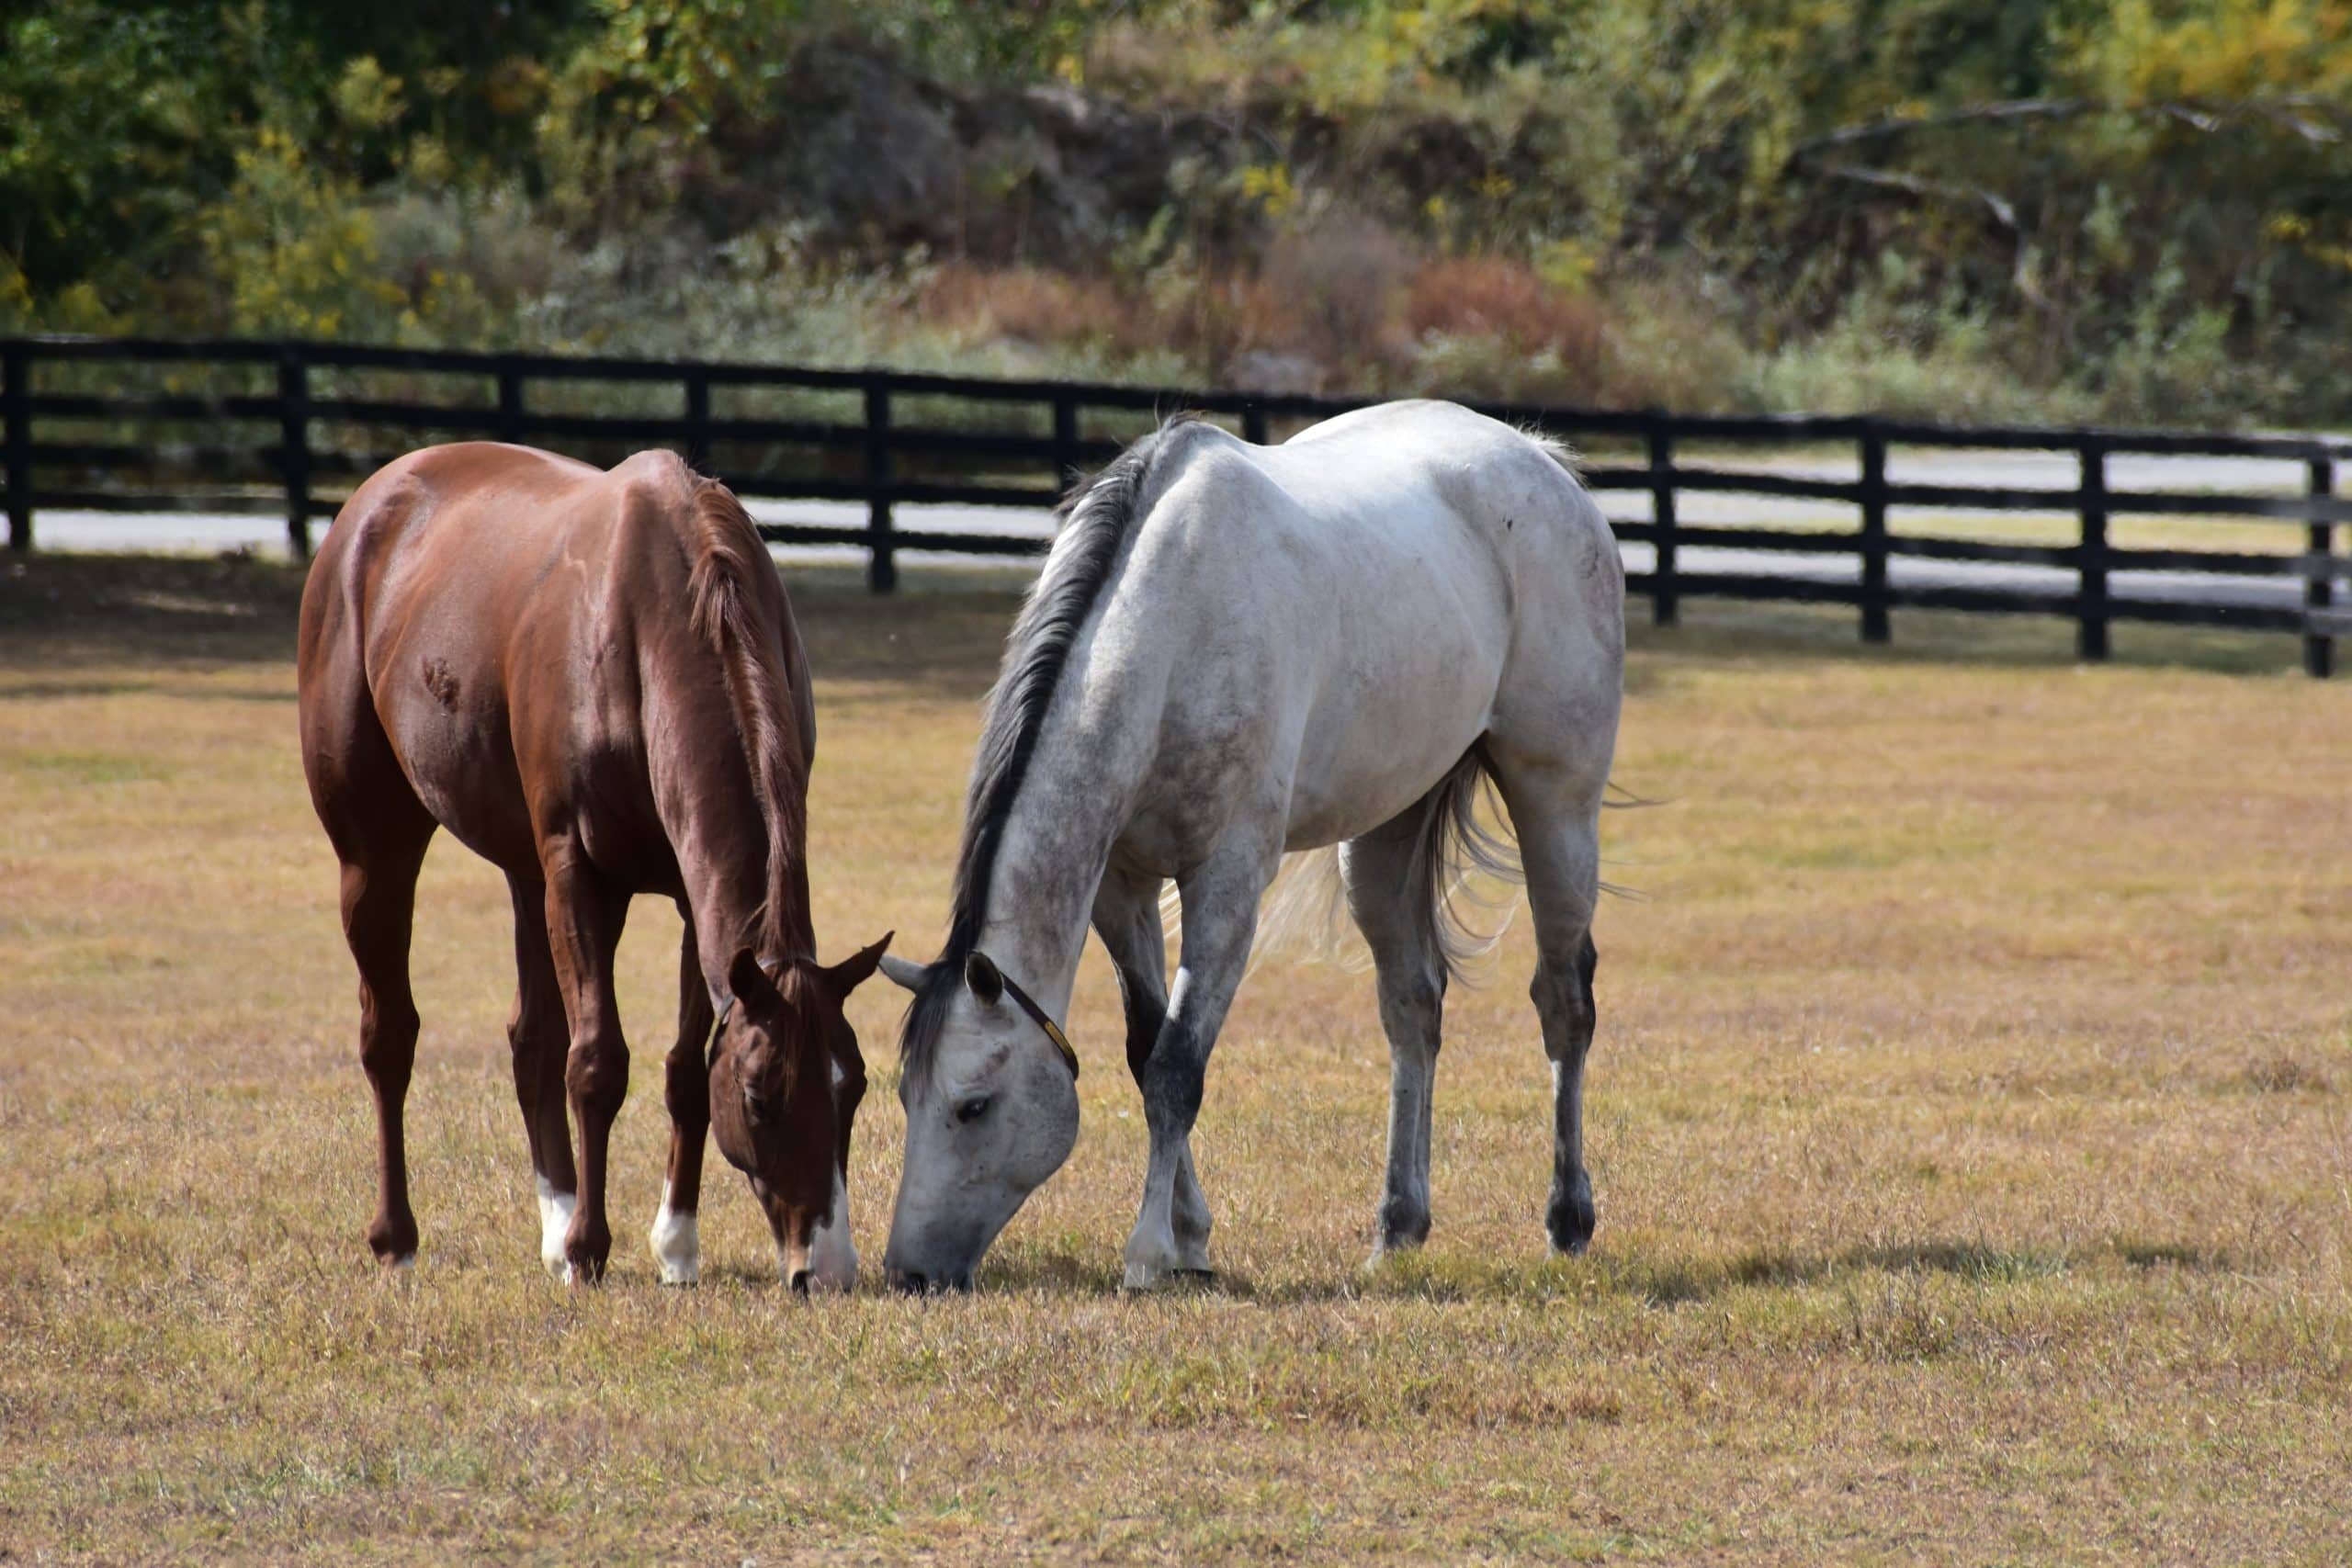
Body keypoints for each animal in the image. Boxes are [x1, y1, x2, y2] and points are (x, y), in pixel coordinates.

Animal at [294, 439, 884, 1288]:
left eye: (856, 1085)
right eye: (760, 1095)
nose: (827, 1267)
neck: (649, 624)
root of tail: (371, 505)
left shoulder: (689, 898)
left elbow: (681, 1070)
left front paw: (675, 1245)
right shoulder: (578, 873)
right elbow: (599, 1062)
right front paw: (588, 1249)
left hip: (524, 871)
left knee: (531, 1041)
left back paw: (554, 1215)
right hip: (376, 853)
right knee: (389, 1037)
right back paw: (399, 1237)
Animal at [875, 401, 1627, 1288]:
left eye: (973, 1106)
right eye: (904, 1095)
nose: (910, 1273)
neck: (1172, 629)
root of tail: (1543, 462)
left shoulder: (1226, 885)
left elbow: (1177, 1068)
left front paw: (1149, 1252)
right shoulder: (1121, 886)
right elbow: (1145, 1049)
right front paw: (1191, 1238)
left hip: (1558, 806)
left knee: (1563, 1002)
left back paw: (1567, 1218)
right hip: (1384, 831)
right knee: (1412, 1008)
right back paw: (1397, 1226)